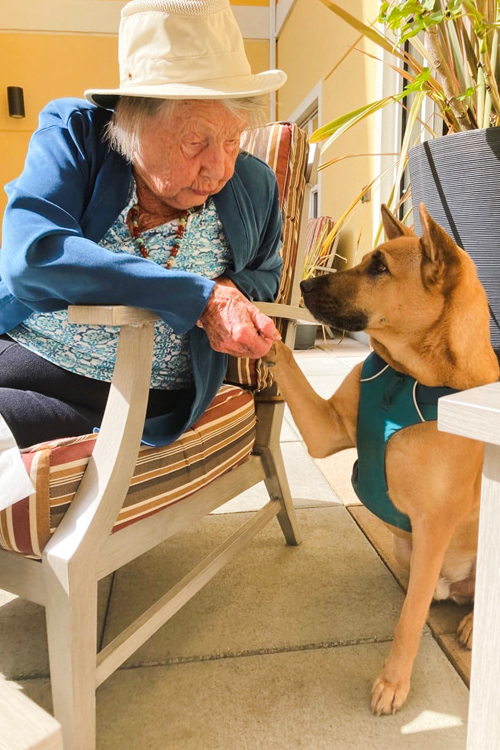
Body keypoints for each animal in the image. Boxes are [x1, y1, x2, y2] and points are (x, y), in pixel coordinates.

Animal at [264, 204, 498, 716]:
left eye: (379, 268)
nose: (303, 286)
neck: (407, 379)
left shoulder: (434, 526)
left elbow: (408, 625)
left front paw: (394, 683)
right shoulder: (326, 428)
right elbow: (284, 358)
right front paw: (246, 322)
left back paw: (472, 624)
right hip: (406, 551)